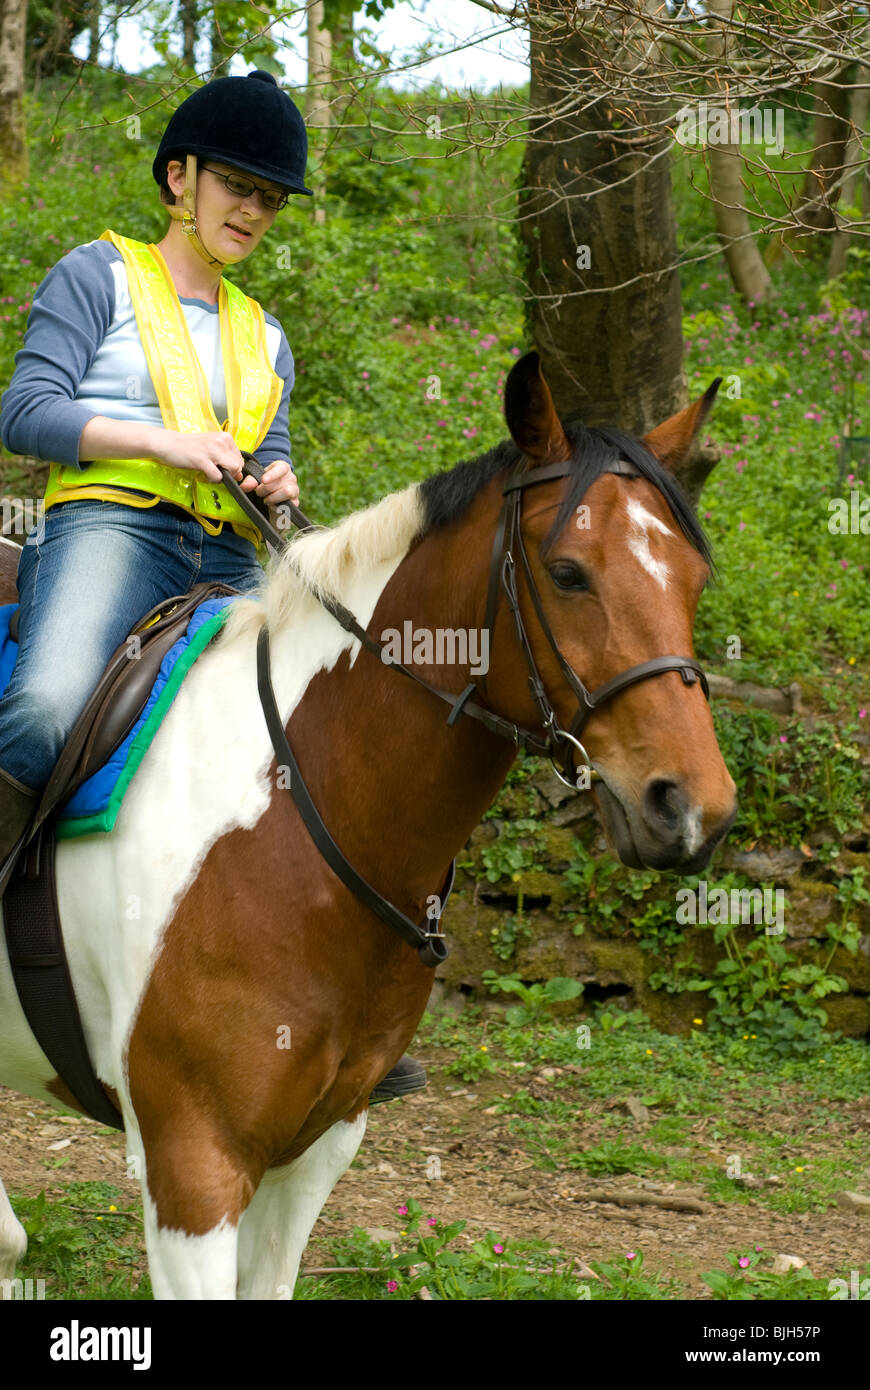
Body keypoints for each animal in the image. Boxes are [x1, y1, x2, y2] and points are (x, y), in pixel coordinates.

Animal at [0, 351, 736, 1299]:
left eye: (694, 579)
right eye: (569, 573)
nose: (692, 808)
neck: (303, 820)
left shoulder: (317, 1150)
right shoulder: (191, 1168)